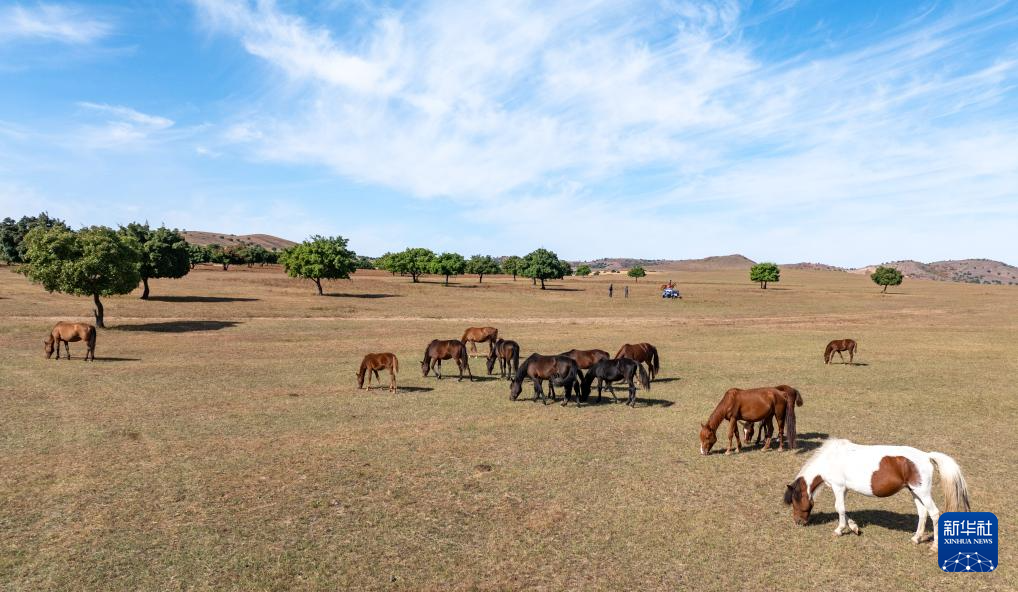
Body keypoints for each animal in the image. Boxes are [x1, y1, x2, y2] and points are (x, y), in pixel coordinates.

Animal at [784, 438, 970, 551]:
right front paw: (854, 527)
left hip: (922, 492)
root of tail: (926, 456)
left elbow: (839, 508)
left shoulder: (838, 487)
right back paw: (916, 538)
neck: (830, 459)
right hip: (915, 492)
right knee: (923, 513)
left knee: (934, 513)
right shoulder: (844, 489)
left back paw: (935, 546)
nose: (798, 522)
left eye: (794, 501)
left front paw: (839, 530)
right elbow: (844, 509)